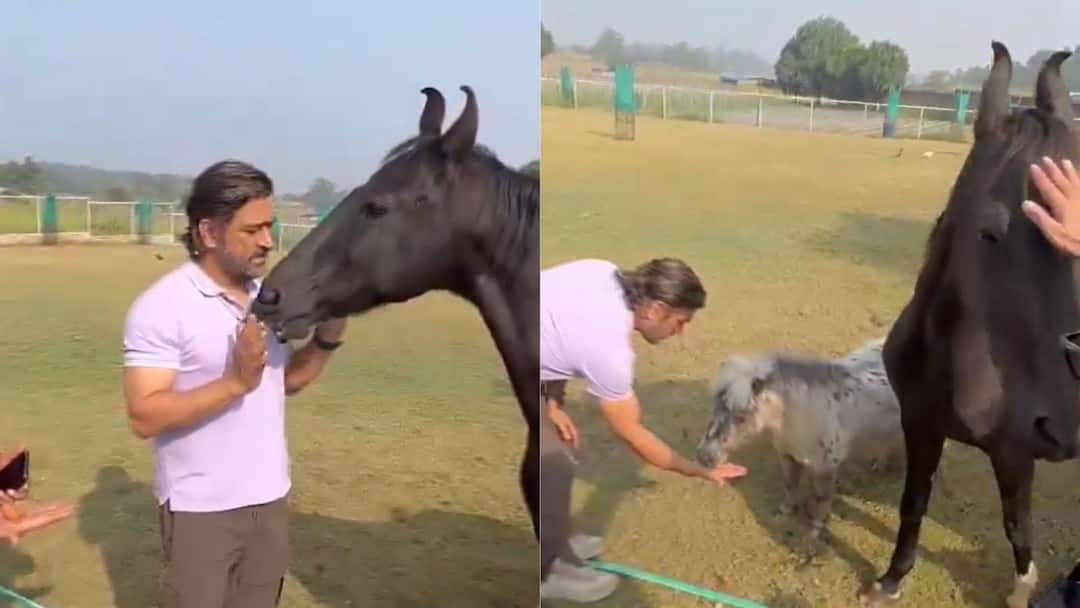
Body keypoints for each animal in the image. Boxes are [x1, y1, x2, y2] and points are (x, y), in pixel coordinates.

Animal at [696, 337, 903, 540]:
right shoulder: (788, 455)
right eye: (715, 406)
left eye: (742, 416)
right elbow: (790, 484)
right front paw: (786, 510)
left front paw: (815, 530)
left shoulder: (826, 467)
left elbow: (821, 499)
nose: (704, 457)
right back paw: (879, 466)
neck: (797, 412)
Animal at [857, 43, 1080, 608]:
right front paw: (890, 580)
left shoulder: (1015, 449)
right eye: (989, 233)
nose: (1066, 427)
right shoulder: (919, 421)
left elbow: (1016, 526)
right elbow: (913, 503)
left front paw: (1021, 591)